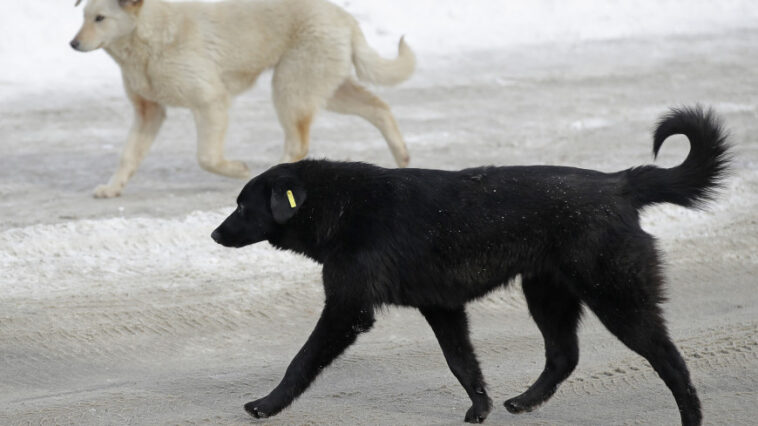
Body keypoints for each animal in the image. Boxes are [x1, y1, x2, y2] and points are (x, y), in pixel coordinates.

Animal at [71, 0, 416, 198]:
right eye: (84, 16)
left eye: (100, 18)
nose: (73, 43)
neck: (149, 36)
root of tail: (346, 17)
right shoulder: (148, 112)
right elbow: (127, 156)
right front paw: (113, 187)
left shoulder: (211, 101)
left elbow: (206, 158)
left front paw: (237, 170)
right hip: (324, 88)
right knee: (380, 108)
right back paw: (401, 155)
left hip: (290, 88)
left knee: (298, 144)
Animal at [212, 107, 732, 426]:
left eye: (241, 206)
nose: (215, 235)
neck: (341, 206)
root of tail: (620, 184)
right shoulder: (441, 307)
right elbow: (462, 363)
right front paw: (481, 407)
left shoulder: (348, 307)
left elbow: (302, 360)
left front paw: (266, 405)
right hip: (547, 293)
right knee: (564, 355)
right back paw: (524, 401)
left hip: (617, 295)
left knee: (669, 359)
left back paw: (691, 416)